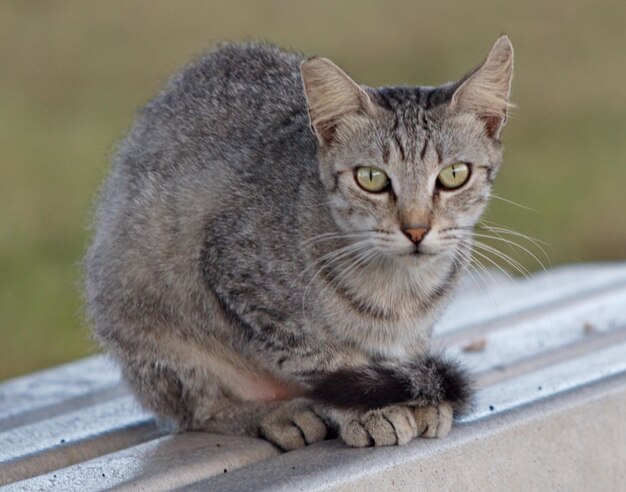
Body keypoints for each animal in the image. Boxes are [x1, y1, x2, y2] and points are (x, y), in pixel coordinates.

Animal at [83, 36, 512, 448]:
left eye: (454, 174)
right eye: (371, 178)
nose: (417, 229)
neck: (400, 290)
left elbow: (399, 358)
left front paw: (416, 396)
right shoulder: (242, 280)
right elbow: (328, 362)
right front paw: (369, 410)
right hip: (148, 320)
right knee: (198, 412)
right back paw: (274, 413)